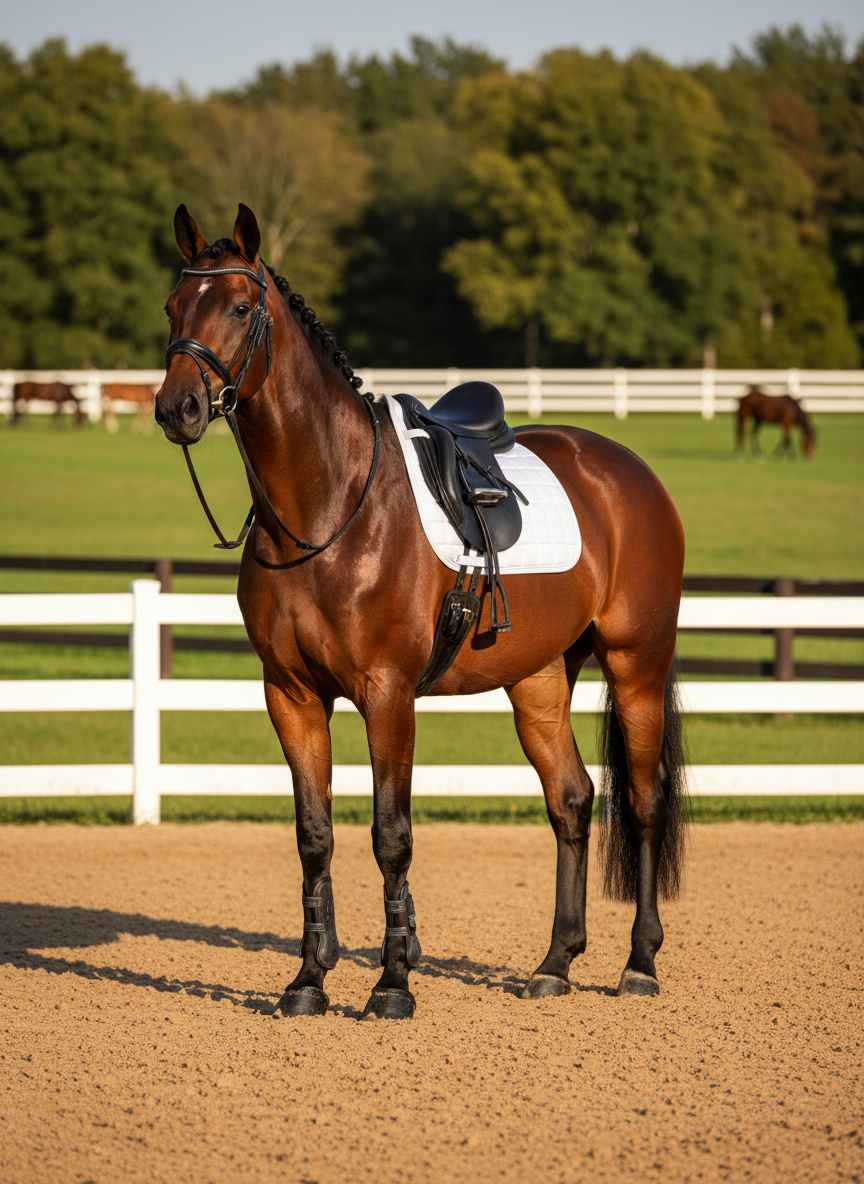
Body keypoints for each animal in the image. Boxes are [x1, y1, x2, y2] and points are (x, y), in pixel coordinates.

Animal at [155, 204, 688, 1021]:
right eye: (173, 306)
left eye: (241, 307)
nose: (175, 407)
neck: (329, 509)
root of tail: (629, 472)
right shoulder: (291, 696)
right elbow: (315, 836)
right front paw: (308, 981)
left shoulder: (388, 695)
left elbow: (391, 836)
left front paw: (393, 984)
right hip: (538, 680)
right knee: (572, 802)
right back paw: (555, 965)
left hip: (637, 665)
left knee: (645, 801)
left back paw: (639, 964)